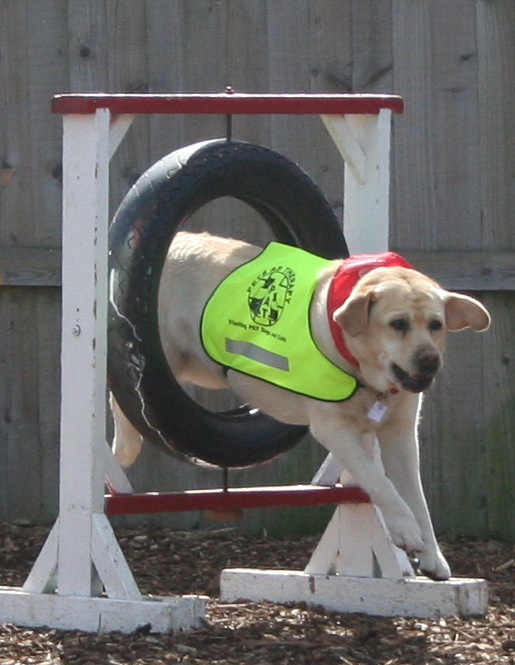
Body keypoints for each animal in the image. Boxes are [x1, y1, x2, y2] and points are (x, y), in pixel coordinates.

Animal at [113, 232, 492, 580]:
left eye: (436, 324)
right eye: (398, 324)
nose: (430, 360)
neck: (362, 370)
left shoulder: (400, 436)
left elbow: (417, 499)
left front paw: (432, 556)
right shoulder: (334, 429)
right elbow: (379, 482)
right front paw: (405, 530)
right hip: (159, 355)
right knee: (125, 390)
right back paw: (124, 448)